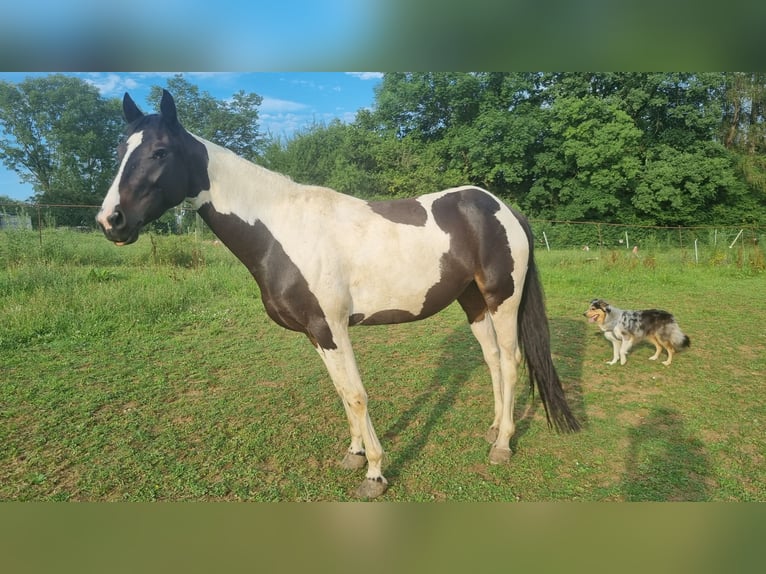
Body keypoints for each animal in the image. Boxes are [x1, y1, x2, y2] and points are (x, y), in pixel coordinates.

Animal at [96, 90, 584, 500]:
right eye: (119, 152)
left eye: (160, 152)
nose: (110, 221)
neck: (281, 230)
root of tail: (503, 208)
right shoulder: (317, 333)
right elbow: (342, 391)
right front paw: (354, 455)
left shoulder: (332, 327)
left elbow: (356, 394)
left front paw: (375, 473)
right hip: (474, 302)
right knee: (492, 361)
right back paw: (493, 428)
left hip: (503, 300)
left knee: (511, 360)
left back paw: (502, 445)